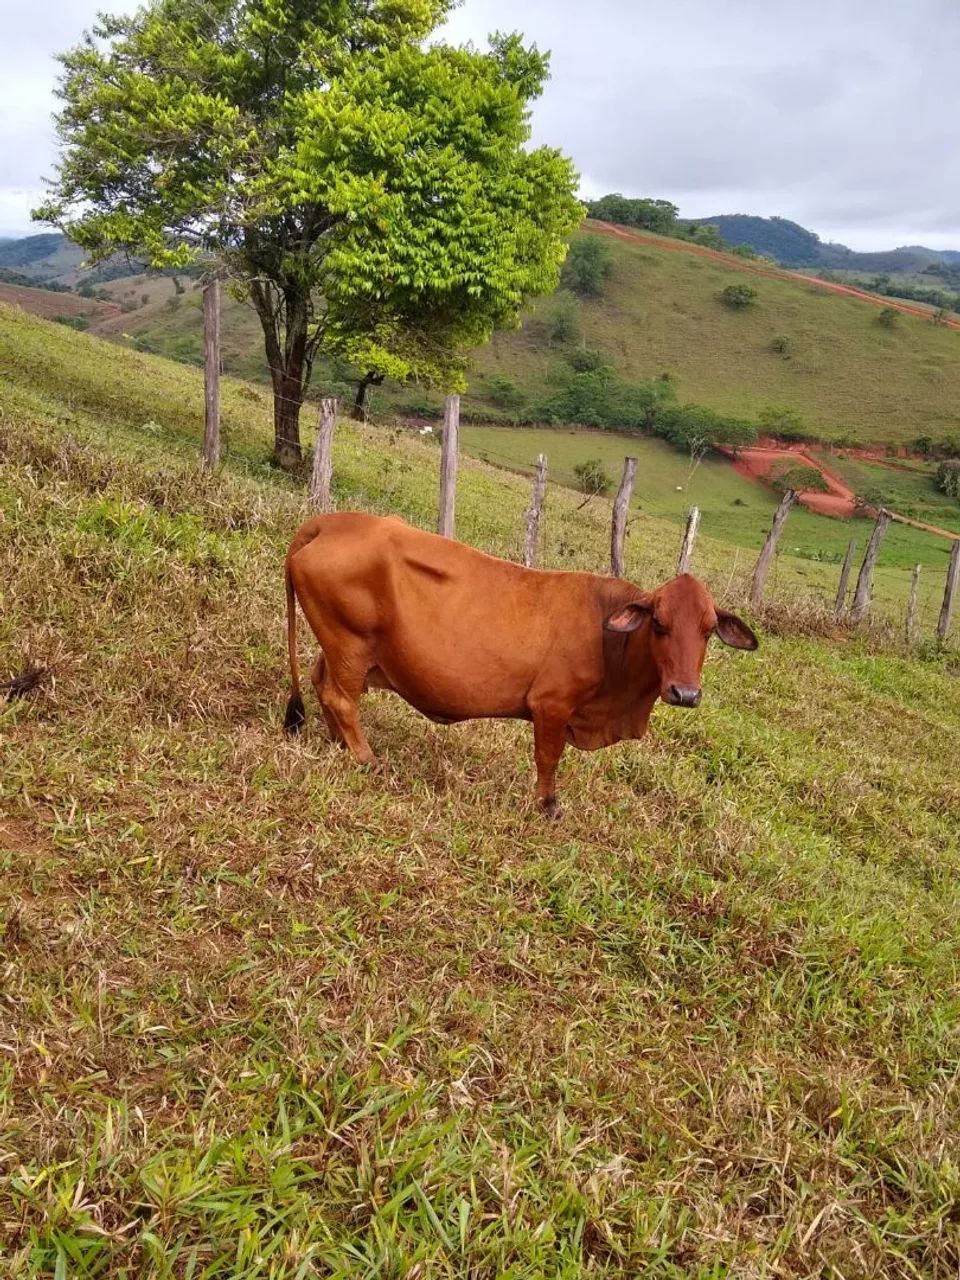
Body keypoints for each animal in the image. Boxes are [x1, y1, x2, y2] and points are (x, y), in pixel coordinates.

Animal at [283, 513, 758, 816]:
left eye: (708, 629)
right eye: (659, 623)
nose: (685, 692)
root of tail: (330, 522)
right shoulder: (552, 705)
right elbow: (548, 757)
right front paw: (547, 806)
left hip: (342, 647)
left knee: (322, 684)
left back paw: (340, 744)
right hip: (351, 644)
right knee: (340, 698)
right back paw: (366, 758)